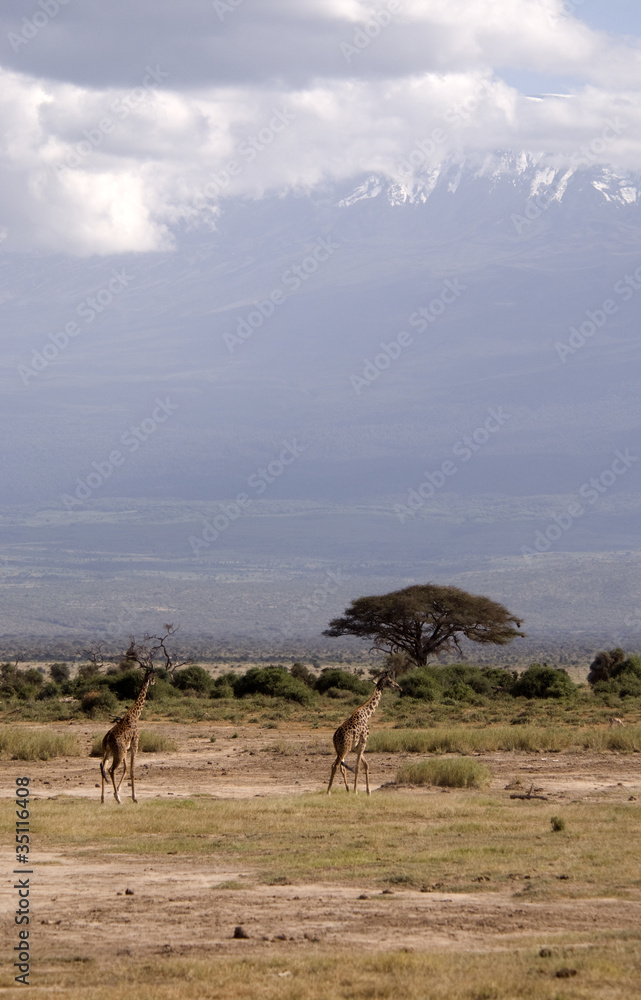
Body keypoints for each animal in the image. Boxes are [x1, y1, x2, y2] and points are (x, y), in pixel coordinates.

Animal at [99, 664, 156, 804]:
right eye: (153, 677)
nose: (155, 682)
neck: (135, 715)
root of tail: (107, 739)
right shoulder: (135, 745)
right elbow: (132, 770)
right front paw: (134, 797)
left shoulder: (127, 748)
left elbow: (125, 769)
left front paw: (117, 791)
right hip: (119, 752)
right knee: (111, 770)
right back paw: (118, 799)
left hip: (109, 751)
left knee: (103, 767)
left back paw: (103, 799)